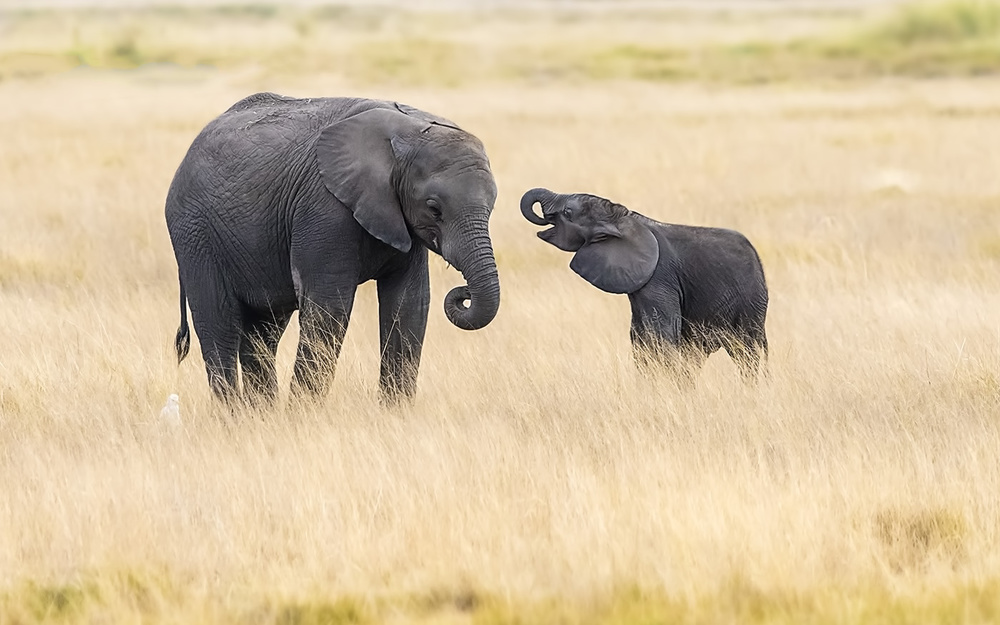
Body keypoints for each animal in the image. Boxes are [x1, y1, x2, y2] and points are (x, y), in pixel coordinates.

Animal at [167, 92, 504, 404]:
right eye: (434, 208)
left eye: (492, 205)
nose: (464, 293)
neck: (408, 130)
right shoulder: (324, 209)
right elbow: (329, 307)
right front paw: (303, 416)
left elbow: (409, 304)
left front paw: (395, 414)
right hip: (194, 234)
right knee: (219, 327)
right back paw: (234, 417)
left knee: (263, 334)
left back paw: (262, 415)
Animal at [524, 188, 764, 378]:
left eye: (567, 213)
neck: (623, 218)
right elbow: (639, 338)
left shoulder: (659, 278)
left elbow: (662, 333)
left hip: (752, 300)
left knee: (749, 351)